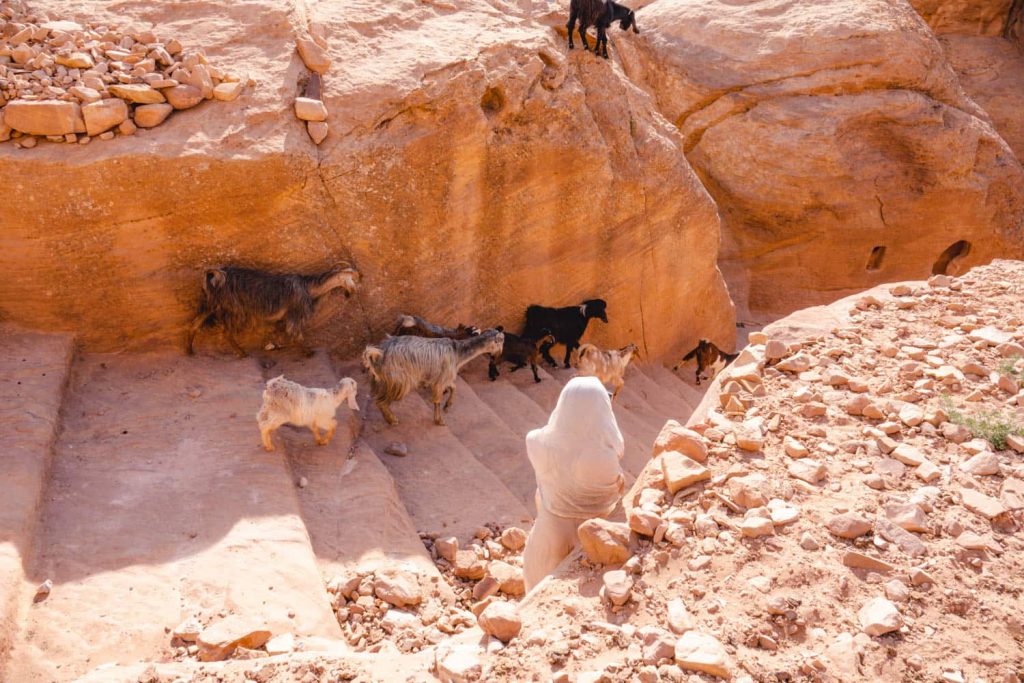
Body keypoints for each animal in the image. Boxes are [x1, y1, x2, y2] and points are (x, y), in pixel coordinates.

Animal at [186, 262, 362, 358]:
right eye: (353, 278)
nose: (351, 293)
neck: (309, 287)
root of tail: (214, 276)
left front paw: (275, 345)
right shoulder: (295, 312)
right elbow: (296, 334)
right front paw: (308, 352)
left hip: (211, 304)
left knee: (195, 323)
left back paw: (189, 351)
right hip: (233, 308)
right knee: (226, 332)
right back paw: (241, 353)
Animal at [362, 327, 505, 423]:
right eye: (501, 342)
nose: (498, 356)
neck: (457, 352)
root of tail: (377, 356)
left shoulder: (441, 378)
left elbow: (453, 387)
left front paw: (447, 406)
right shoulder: (441, 379)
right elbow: (437, 399)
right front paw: (439, 420)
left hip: (381, 381)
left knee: (378, 400)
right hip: (398, 381)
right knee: (381, 402)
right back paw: (392, 420)